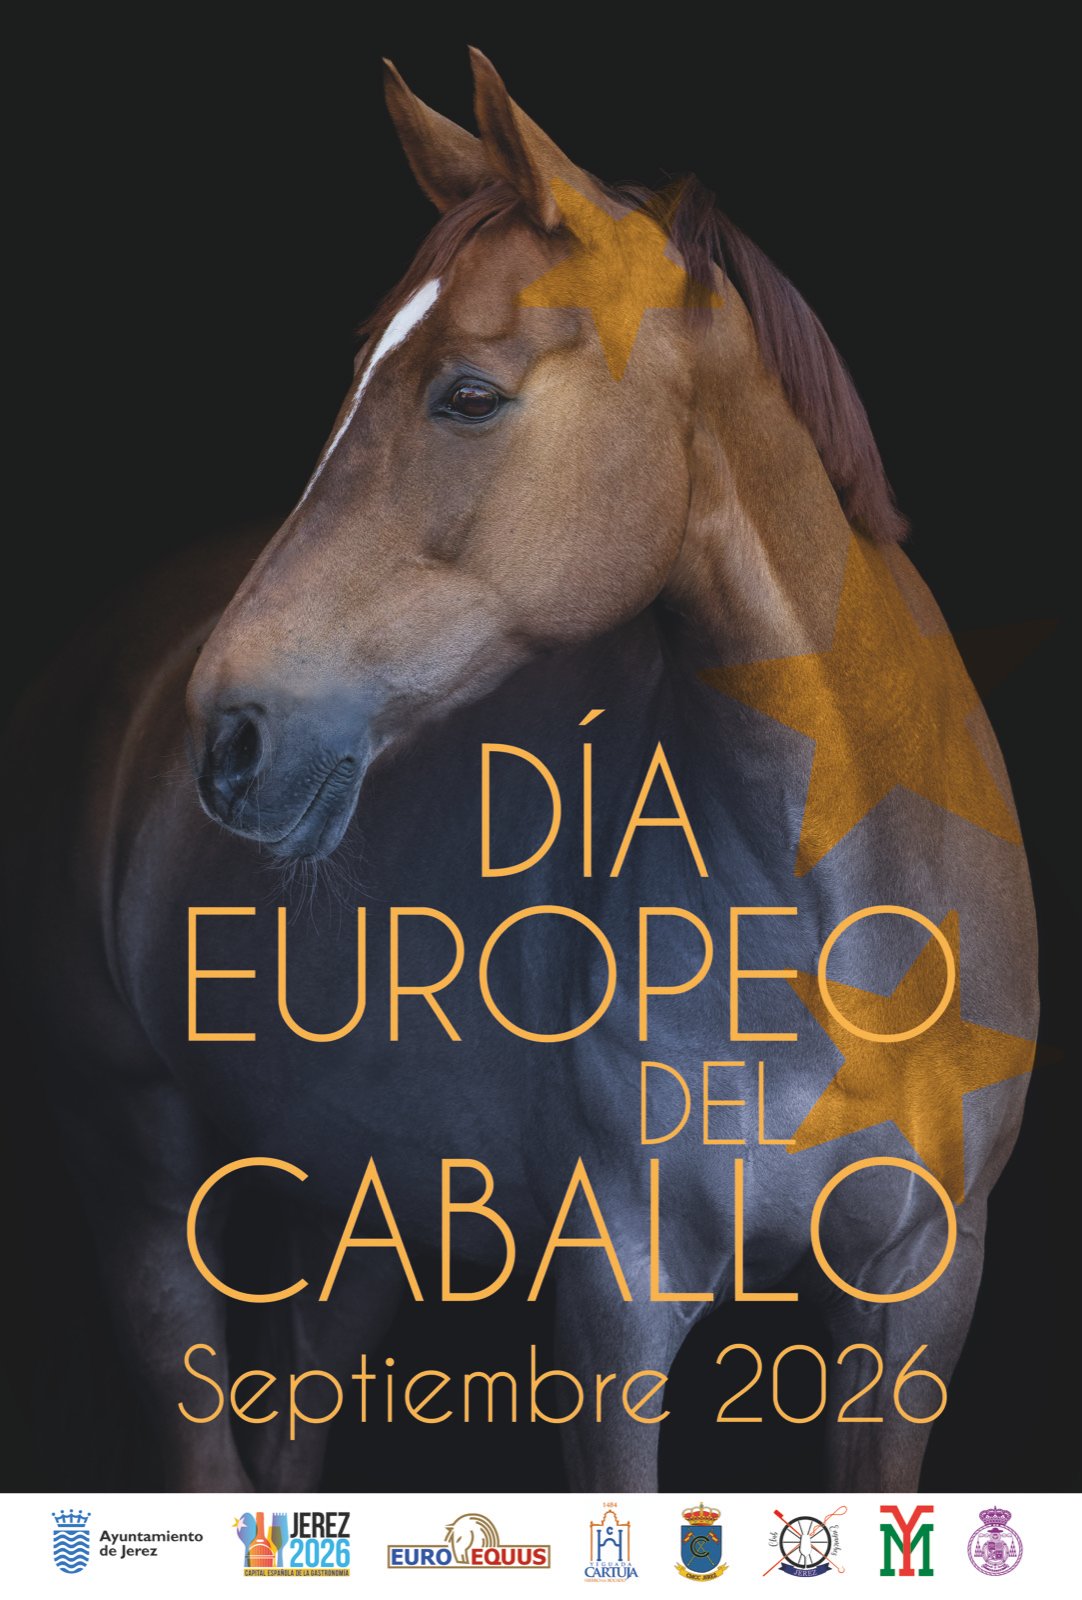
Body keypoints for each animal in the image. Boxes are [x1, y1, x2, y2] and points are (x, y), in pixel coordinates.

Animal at [11, 48, 1036, 1495]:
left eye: (468, 393)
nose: (233, 739)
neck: (849, 935)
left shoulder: (917, 1295)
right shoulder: (616, 1305)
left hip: (361, 1207)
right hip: (137, 1168)